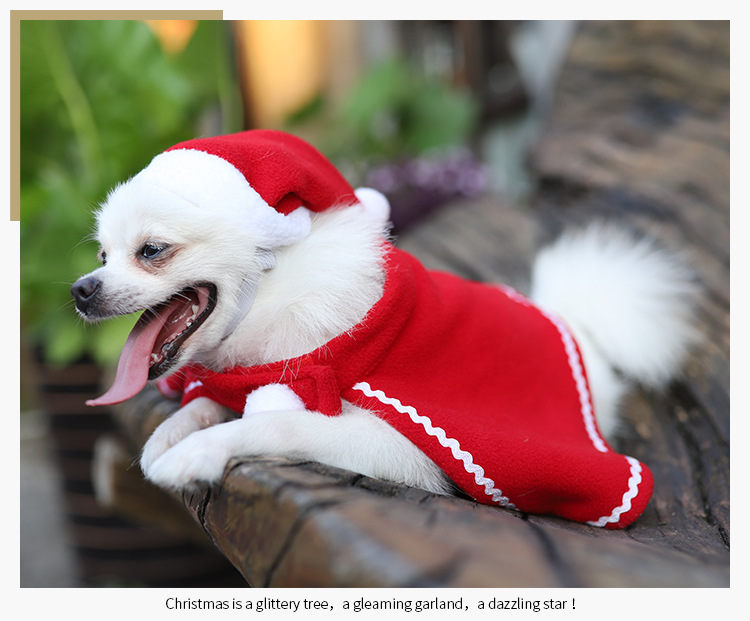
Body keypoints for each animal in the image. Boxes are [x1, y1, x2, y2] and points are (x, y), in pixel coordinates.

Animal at [72, 131, 700, 528]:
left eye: (153, 251)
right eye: (102, 255)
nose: (81, 288)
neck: (277, 304)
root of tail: (578, 328)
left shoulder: (401, 443)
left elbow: (275, 426)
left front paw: (199, 452)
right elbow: (200, 403)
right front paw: (170, 436)